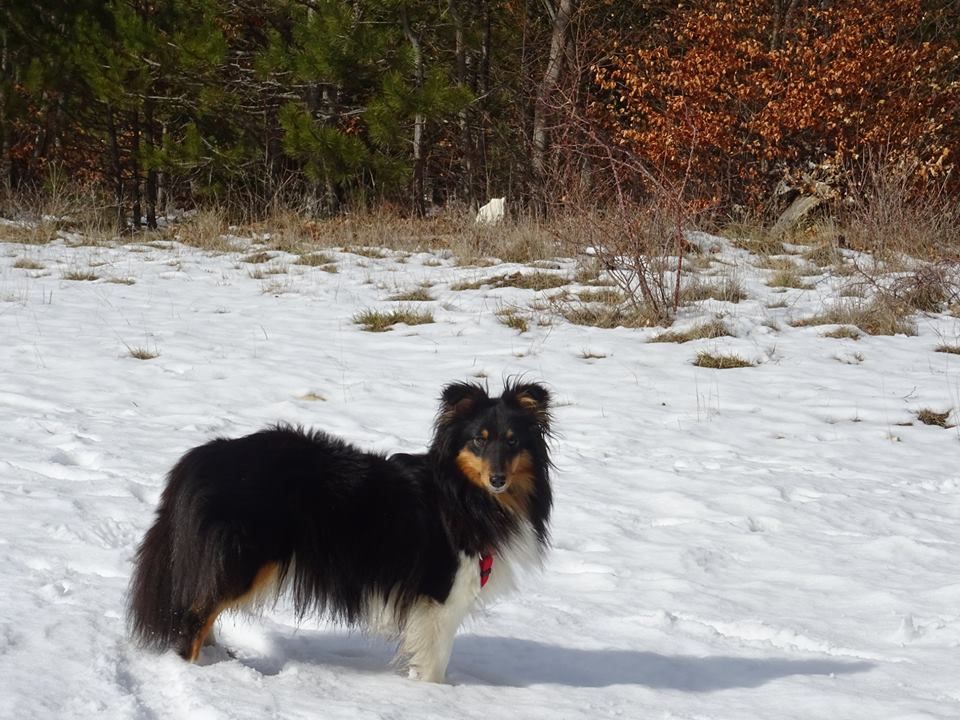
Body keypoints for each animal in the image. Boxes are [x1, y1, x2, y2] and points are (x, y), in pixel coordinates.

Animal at [125, 380, 556, 684]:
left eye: (513, 441)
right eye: (478, 441)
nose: (498, 479)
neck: (465, 494)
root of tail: (202, 457)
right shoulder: (440, 598)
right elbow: (434, 664)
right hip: (245, 559)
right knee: (193, 615)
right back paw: (196, 672)